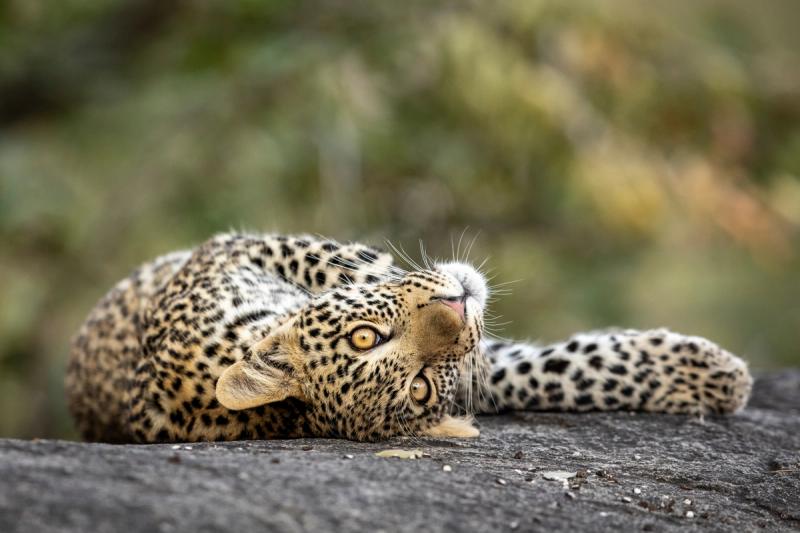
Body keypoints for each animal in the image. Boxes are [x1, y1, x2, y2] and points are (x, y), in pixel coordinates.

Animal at [65, 232, 753, 443]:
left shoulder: (238, 249)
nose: (457, 304)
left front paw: (705, 374)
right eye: (418, 389)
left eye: (365, 336)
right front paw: (721, 376)